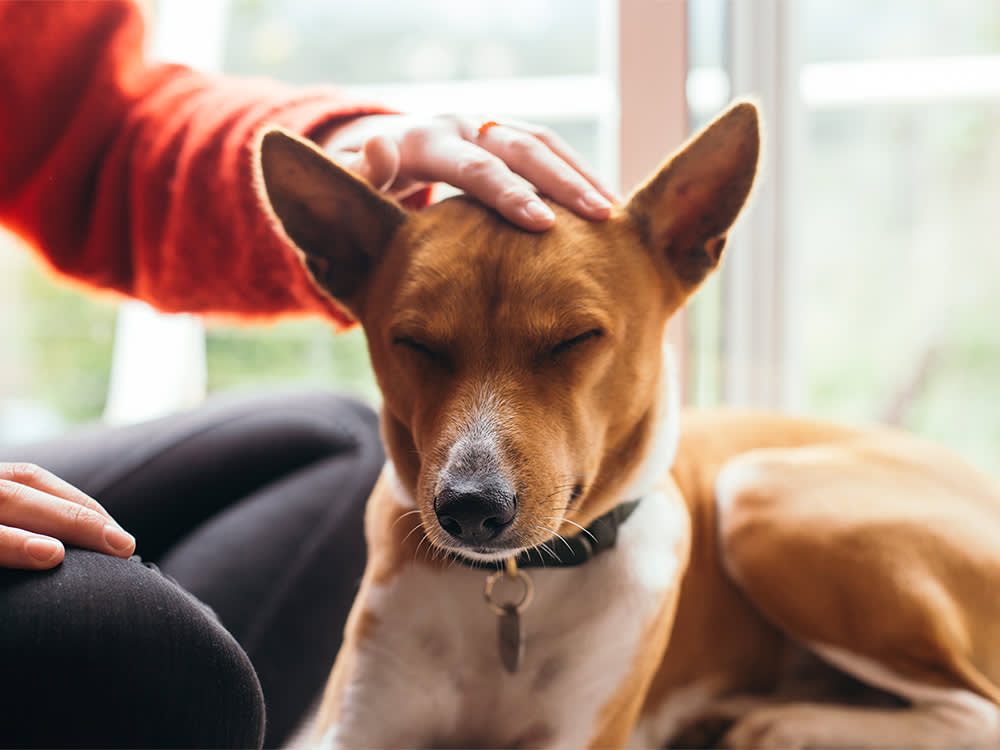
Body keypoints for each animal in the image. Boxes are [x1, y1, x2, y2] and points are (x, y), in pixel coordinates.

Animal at [256, 101, 1000, 750]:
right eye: (413, 343)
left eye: (576, 338)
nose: (470, 508)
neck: (513, 590)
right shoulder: (352, 726)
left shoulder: (579, 736)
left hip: (762, 495)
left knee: (976, 711)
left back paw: (778, 724)